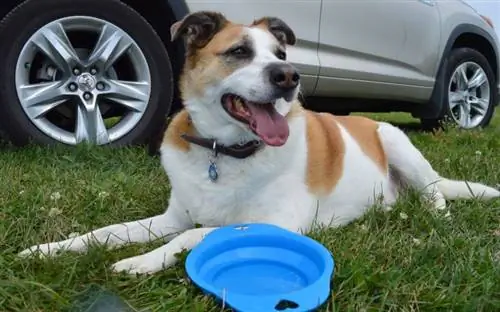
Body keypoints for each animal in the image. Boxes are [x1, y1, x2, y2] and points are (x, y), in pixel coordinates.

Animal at [20, 11, 500, 276]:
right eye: (238, 52)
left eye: (281, 55)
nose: (290, 77)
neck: (223, 153)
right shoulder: (172, 216)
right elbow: (104, 232)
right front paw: (47, 250)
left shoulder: (279, 221)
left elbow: (198, 235)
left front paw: (141, 262)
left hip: (395, 141)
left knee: (436, 194)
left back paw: (438, 218)